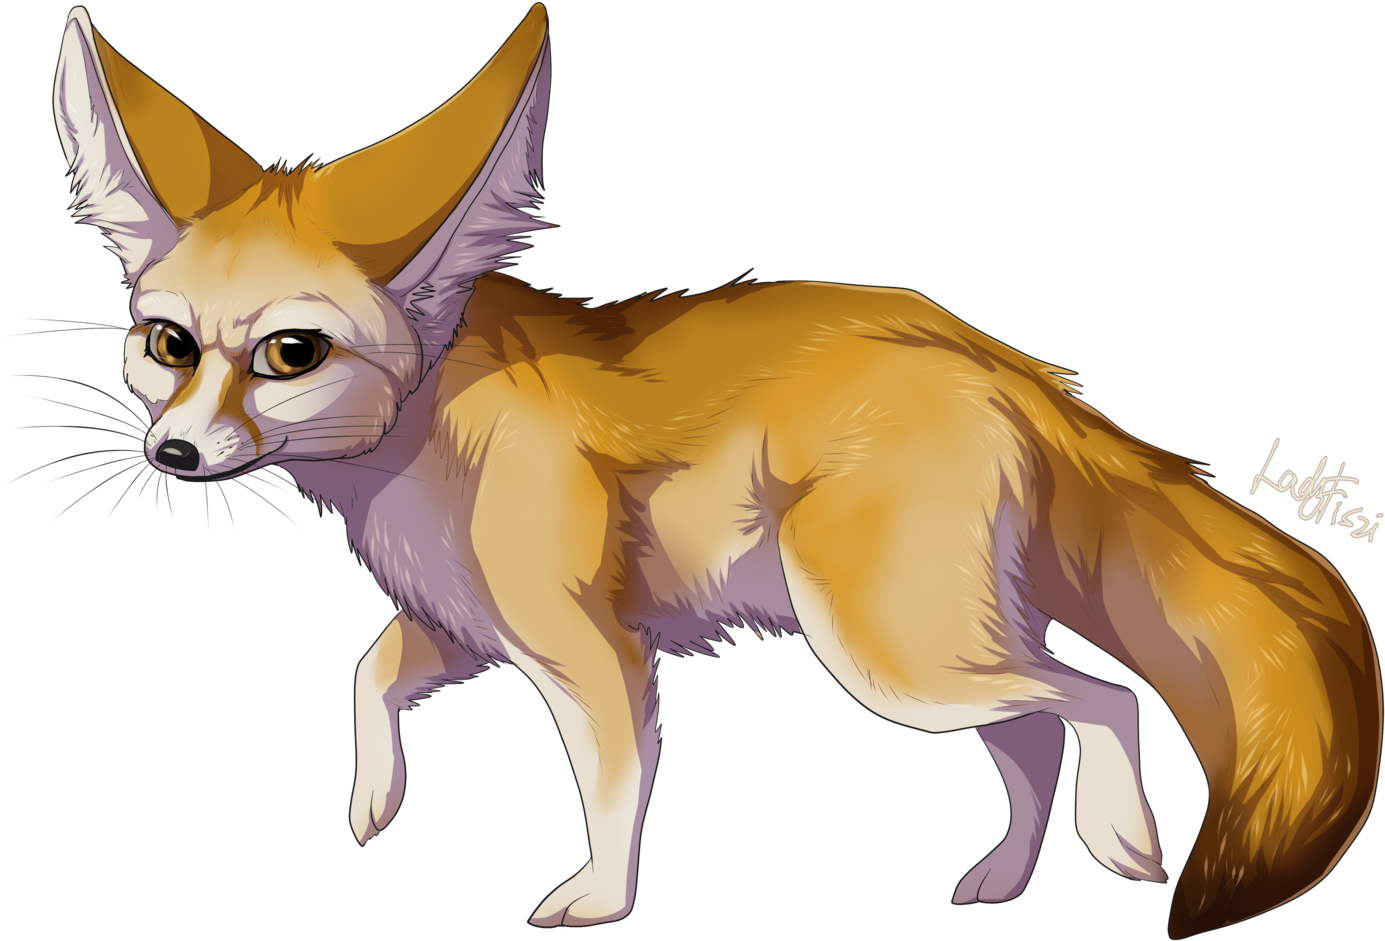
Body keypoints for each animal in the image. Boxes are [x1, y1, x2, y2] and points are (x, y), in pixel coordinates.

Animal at [49, 4, 1379, 936]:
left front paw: (598, 899)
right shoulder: (468, 622)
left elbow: (613, 783)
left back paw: (1126, 841)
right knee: (1036, 732)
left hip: (891, 653)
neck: (429, 433)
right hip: (933, 654)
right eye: (168, 346)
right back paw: (1001, 877)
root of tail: (1000, 354)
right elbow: (368, 676)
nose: (172, 450)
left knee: (1097, 702)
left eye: (289, 354)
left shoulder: (588, 648)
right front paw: (372, 803)